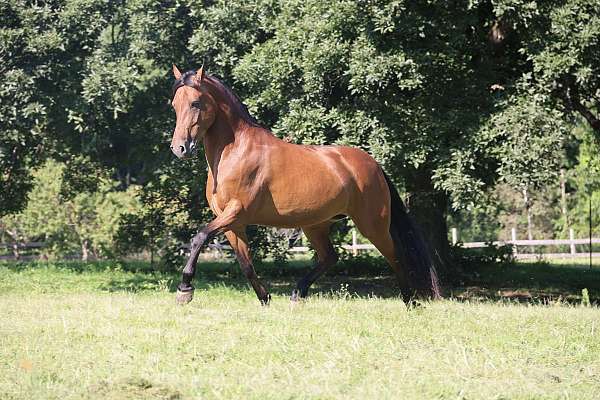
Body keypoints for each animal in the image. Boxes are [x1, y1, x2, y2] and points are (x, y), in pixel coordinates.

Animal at [169, 65, 440, 304]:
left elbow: (199, 237)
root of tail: (374, 164)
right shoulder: (232, 222)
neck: (234, 152)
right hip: (316, 224)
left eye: (195, 103)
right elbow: (245, 264)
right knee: (331, 257)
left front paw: (185, 289)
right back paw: (298, 292)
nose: (179, 148)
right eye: (174, 104)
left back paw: (410, 301)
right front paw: (265, 299)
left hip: (372, 225)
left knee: (395, 256)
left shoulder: (236, 212)